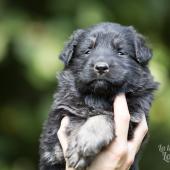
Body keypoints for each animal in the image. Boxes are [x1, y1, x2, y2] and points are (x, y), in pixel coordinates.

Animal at [39, 22, 158, 170]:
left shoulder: (133, 117)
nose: (101, 67)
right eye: (88, 51)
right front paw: (79, 150)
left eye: (121, 52)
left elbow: (105, 116)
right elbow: (75, 123)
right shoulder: (62, 113)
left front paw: (85, 143)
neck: (98, 97)